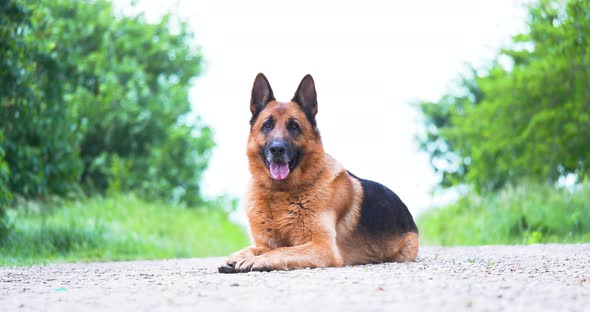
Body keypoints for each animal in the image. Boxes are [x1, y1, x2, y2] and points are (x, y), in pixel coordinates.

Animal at [219, 73, 420, 272]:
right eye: (267, 125)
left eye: (294, 126)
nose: (277, 149)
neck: (280, 192)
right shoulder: (265, 244)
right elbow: (251, 249)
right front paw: (234, 258)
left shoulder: (322, 247)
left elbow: (282, 250)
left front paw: (257, 261)